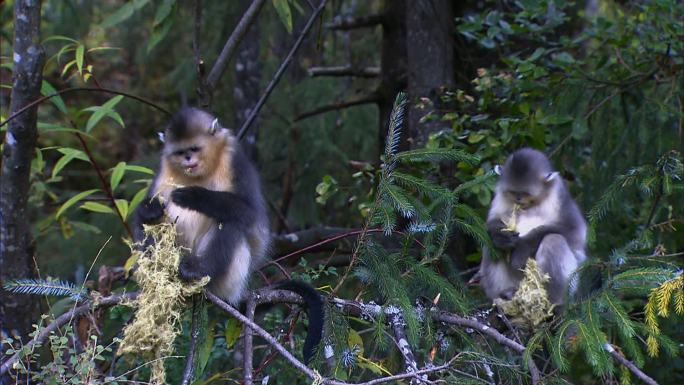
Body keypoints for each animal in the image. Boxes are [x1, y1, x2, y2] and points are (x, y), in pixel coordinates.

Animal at [135, 106, 324, 362]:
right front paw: (149, 208)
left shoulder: (234, 159)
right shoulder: (166, 168)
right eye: (180, 152)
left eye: (194, 149)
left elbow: (250, 213)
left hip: (229, 276)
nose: (188, 160)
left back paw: (196, 270)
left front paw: (195, 196)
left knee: (233, 223)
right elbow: (147, 215)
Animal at [476, 148, 588, 304]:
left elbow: (575, 232)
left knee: (553, 240)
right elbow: (493, 221)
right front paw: (500, 236)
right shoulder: (501, 197)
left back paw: (551, 303)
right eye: (513, 192)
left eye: (525, 193)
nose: (518, 199)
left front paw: (522, 248)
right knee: (490, 245)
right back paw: (504, 294)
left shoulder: (559, 195)